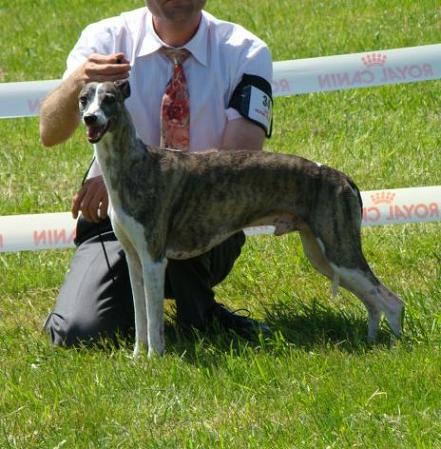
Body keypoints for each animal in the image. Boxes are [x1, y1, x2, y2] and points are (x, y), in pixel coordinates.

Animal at [78, 79, 402, 356]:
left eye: (110, 99)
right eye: (84, 99)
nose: (91, 119)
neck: (135, 165)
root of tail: (342, 177)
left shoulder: (155, 259)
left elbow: (154, 318)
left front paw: (156, 358)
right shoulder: (135, 259)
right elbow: (140, 315)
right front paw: (137, 358)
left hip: (340, 252)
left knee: (392, 301)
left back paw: (395, 346)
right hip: (322, 255)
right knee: (373, 302)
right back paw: (372, 342)